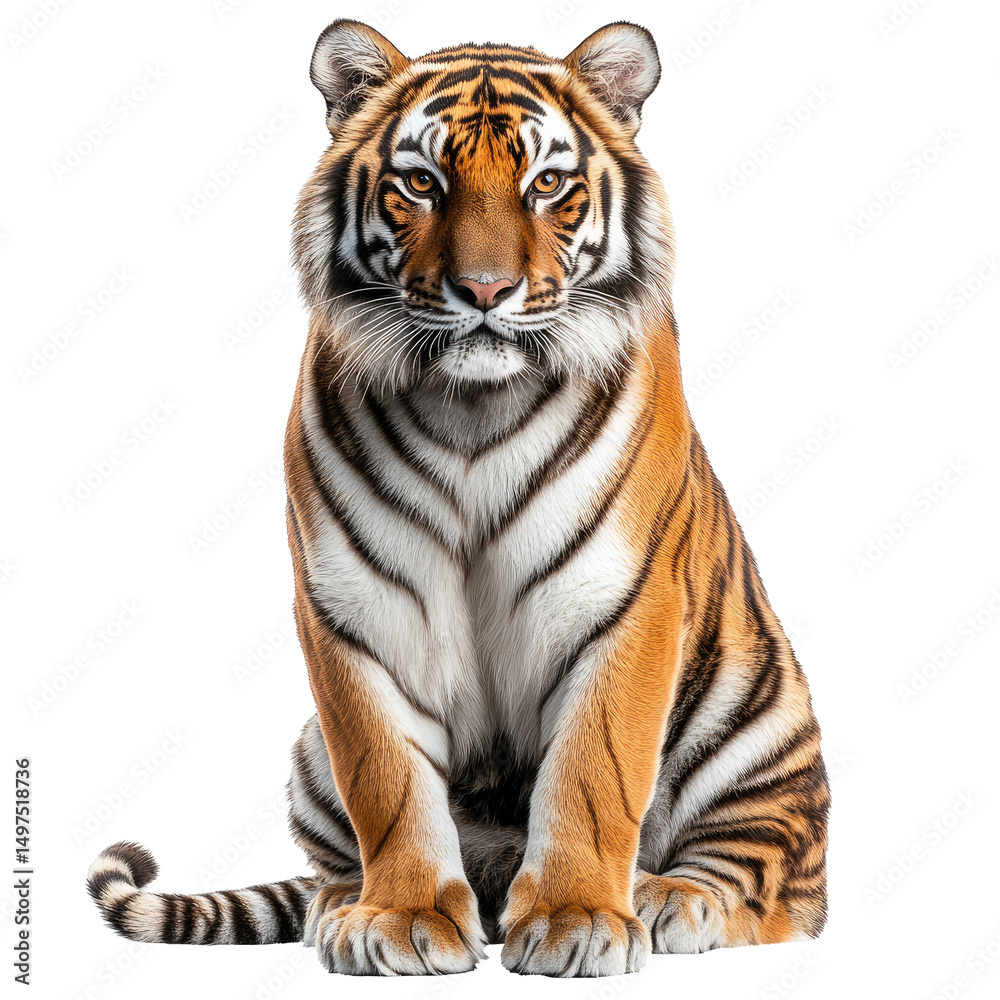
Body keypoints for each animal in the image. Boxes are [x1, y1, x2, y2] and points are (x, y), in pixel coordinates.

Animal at [87, 19, 829, 977]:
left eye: (545, 183)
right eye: (421, 184)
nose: (483, 291)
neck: (474, 408)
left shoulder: (626, 603)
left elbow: (594, 772)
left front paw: (579, 919)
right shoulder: (356, 606)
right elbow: (387, 779)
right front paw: (401, 918)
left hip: (755, 726)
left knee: (772, 882)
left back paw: (669, 898)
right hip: (308, 752)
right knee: (331, 858)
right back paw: (342, 906)